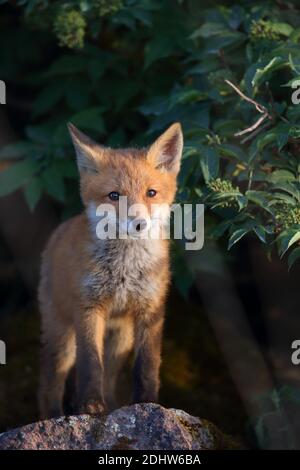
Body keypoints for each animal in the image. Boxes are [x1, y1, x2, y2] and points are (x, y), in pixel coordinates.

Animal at [37, 122, 183, 418]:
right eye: (114, 196)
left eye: (151, 193)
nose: (139, 223)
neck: (124, 270)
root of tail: (58, 232)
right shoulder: (88, 308)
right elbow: (91, 363)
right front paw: (90, 406)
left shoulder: (151, 308)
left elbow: (147, 365)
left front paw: (146, 403)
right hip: (62, 335)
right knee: (51, 379)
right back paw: (54, 416)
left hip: (120, 338)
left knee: (110, 374)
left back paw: (113, 404)